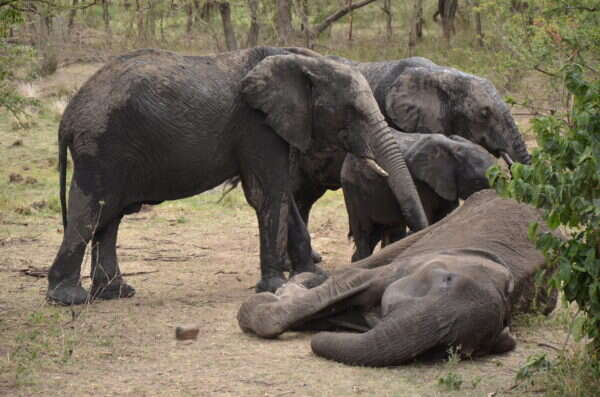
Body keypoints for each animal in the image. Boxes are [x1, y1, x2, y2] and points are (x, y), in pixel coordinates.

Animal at [49, 47, 428, 306]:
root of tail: (68, 116)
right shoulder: (257, 126)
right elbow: (268, 193)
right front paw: (277, 287)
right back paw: (69, 298)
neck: (301, 60)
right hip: (102, 147)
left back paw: (117, 292)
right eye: (351, 111)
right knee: (92, 209)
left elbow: (282, 196)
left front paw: (313, 278)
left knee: (109, 216)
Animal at [237, 190, 556, 366]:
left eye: (453, 348)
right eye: (446, 280)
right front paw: (270, 300)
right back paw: (301, 279)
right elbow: (352, 280)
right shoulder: (412, 264)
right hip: (450, 220)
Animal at [342, 133, 496, 262]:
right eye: (477, 182)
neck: (453, 147)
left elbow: (446, 215)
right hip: (354, 191)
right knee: (365, 233)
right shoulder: (420, 183)